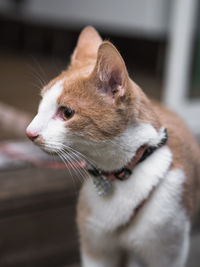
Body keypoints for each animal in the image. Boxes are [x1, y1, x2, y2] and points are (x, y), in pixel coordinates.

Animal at [25, 25, 200, 267]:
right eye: (41, 104)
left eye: (66, 113)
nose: (29, 132)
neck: (122, 172)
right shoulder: (95, 248)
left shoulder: (167, 252)